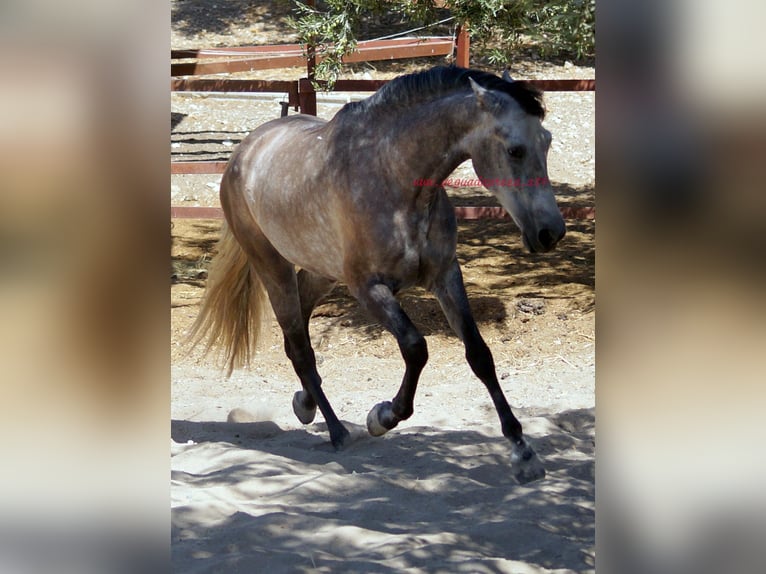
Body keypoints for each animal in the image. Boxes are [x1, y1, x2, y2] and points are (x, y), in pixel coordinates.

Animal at [189, 65, 568, 484]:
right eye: (515, 150)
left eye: (546, 141)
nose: (551, 233)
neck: (395, 179)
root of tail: (244, 152)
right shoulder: (369, 289)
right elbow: (416, 348)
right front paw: (382, 416)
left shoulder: (445, 275)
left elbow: (480, 355)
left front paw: (523, 451)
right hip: (272, 267)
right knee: (300, 347)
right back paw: (338, 431)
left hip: (321, 272)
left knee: (297, 335)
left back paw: (306, 404)